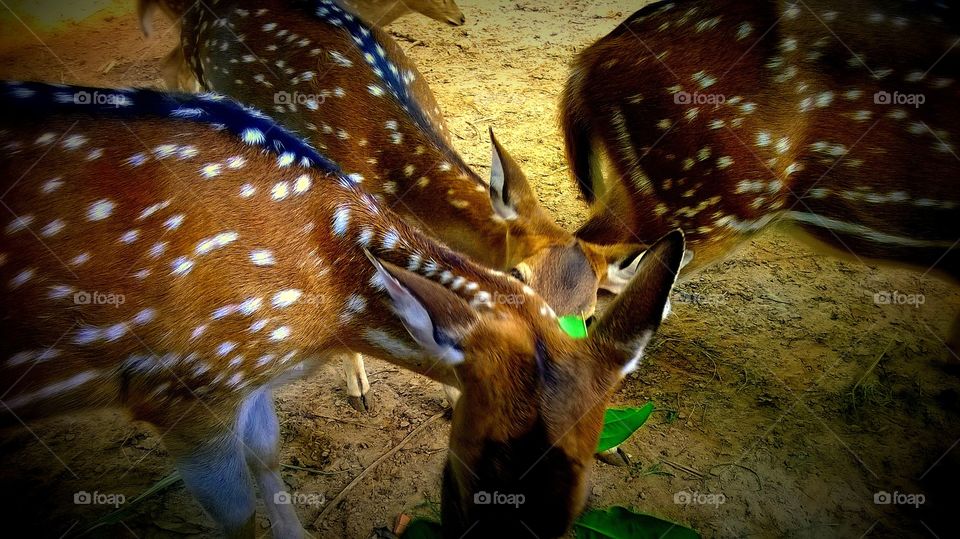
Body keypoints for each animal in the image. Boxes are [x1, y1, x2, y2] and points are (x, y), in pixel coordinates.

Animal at [0, 80, 685, 538]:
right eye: (459, 479)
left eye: (579, 504)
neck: (323, 312)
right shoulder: (185, 383)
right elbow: (237, 516)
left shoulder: (245, 371)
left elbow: (267, 451)